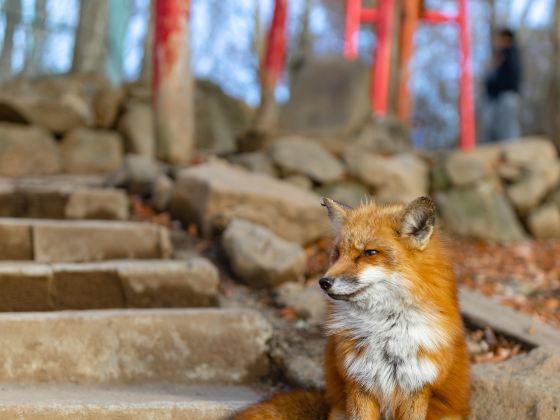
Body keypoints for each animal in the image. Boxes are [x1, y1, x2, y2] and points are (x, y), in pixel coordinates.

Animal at [234, 198, 470, 420]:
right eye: (338, 253)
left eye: (369, 253)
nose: (323, 282)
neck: (385, 332)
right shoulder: (359, 383)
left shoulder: (417, 388)